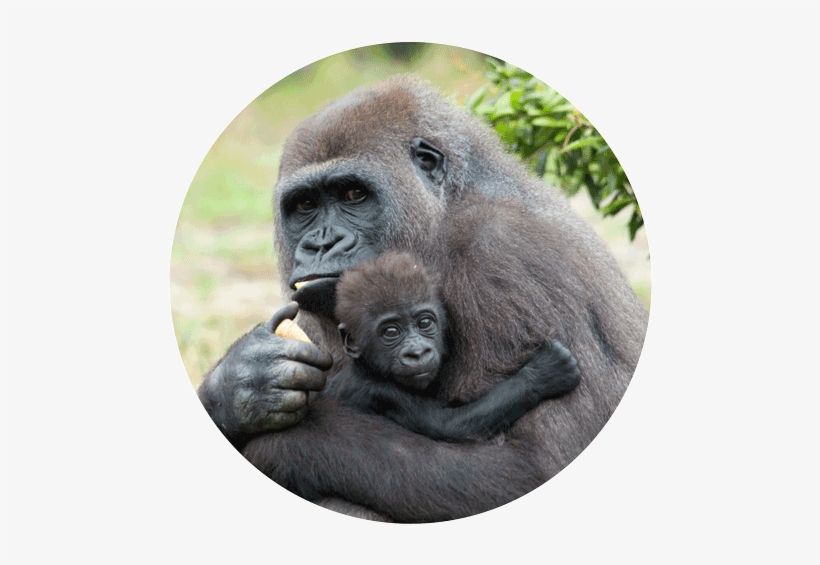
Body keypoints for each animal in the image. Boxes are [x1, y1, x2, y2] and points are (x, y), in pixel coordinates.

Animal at [325, 250, 581, 443]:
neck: (366, 367)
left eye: (424, 323)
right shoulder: (379, 390)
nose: (418, 353)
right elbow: (448, 425)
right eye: (391, 332)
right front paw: (543, 373)